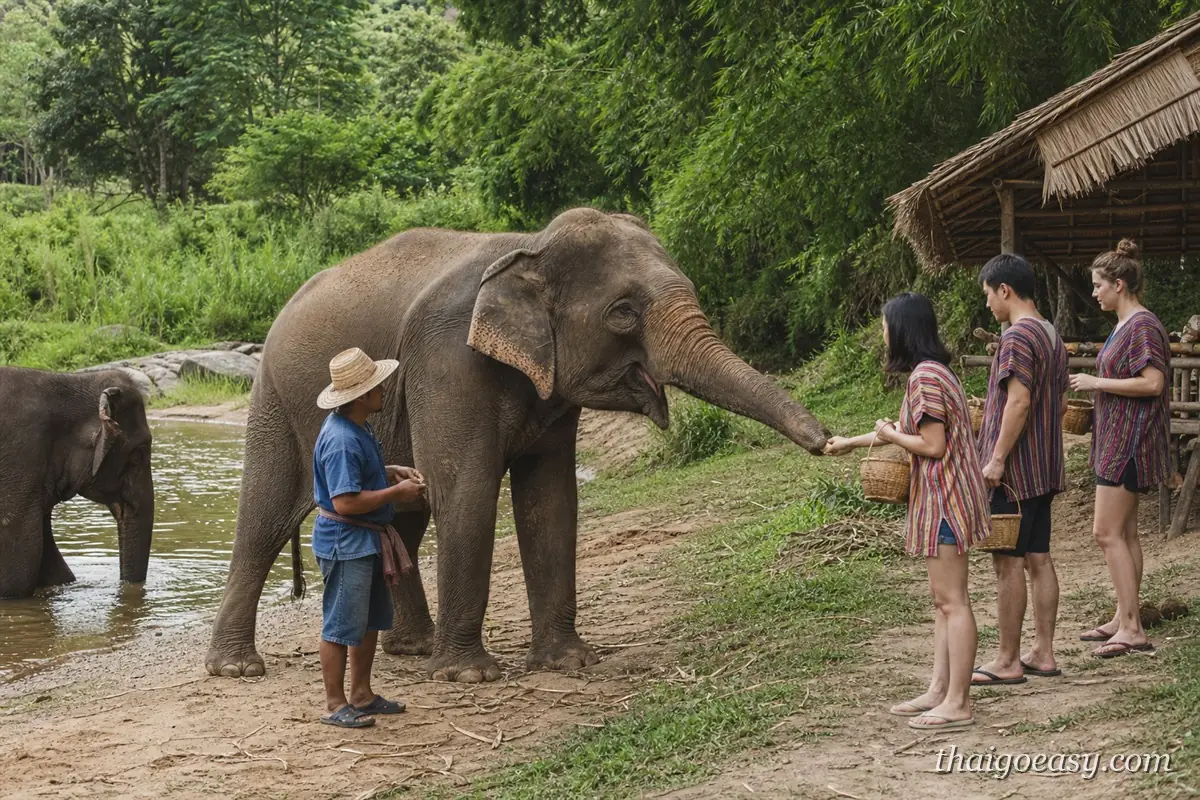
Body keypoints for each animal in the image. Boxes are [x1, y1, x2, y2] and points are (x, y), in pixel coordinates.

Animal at [0, 367, 155, 599]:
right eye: (138, 456)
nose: (127, 587)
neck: (72, 381)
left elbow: (56, 572)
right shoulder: (19, 459)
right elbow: (17, 577)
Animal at [205, 207, 828, 681]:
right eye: (623, 314)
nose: (826, 443)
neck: (531, 247)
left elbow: (549, 499)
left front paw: (568, 664)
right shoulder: (448, 359)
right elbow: (466, 489)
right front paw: (469, 676)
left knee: (402, 516)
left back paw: (412, 648)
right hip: (277, 398)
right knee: (264, 518)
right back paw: (237, 667)